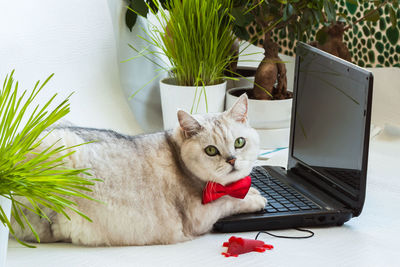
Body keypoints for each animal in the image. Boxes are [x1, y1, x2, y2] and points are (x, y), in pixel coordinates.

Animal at [12, 93, 268, 247]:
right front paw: (255, 197)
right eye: (211, 150)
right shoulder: (199, 216)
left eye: (239, 143)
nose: (232, 160)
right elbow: (229, 200)